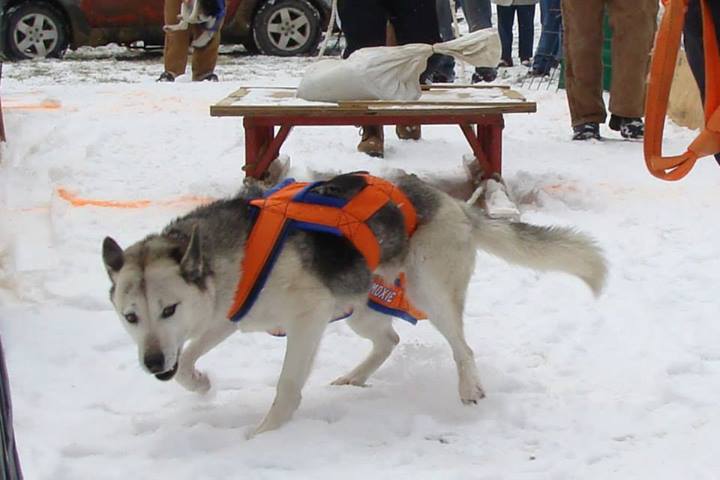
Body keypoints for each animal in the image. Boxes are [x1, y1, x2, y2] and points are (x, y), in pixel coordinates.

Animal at [102, 172, 608, 436]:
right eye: (131, 317)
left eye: (168, 309)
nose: (151, 362)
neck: (235, 256)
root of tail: (455, 205)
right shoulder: (226, 318)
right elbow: (187, 358)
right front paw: (200, 383)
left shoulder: (306, 320)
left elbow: (287, 386)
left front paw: (264, 434)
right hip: (360, 311)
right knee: (389, 339)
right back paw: (355, 377)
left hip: (427, 294)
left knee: (463, 348)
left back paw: (469, 389)